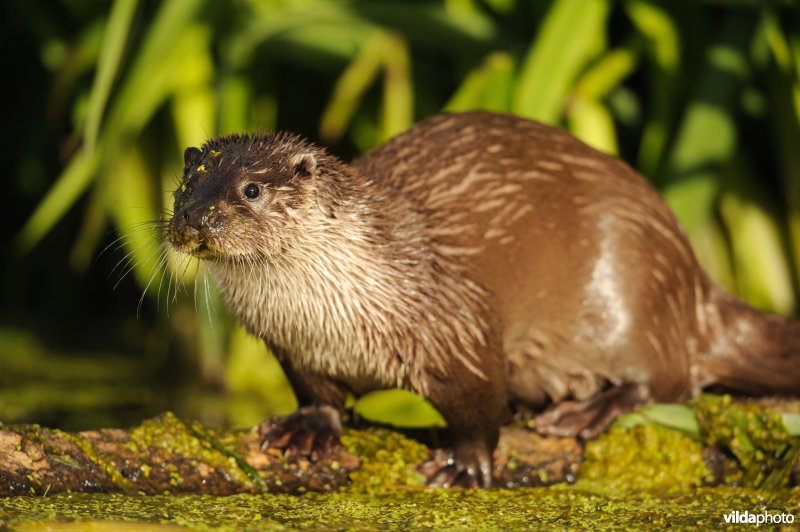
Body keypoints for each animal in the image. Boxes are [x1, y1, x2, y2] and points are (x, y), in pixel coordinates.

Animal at [168, 111, 800, 488]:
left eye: (251, 189)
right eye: (185, 187)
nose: (196, 217)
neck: (329, 317)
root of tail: (692, 275)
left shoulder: (457, 324)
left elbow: (476, 407)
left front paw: (465, 465)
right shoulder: (293, 349)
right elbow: (318, 396)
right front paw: (306, 428)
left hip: (634, 282)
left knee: (668, 378)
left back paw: (588, 410)